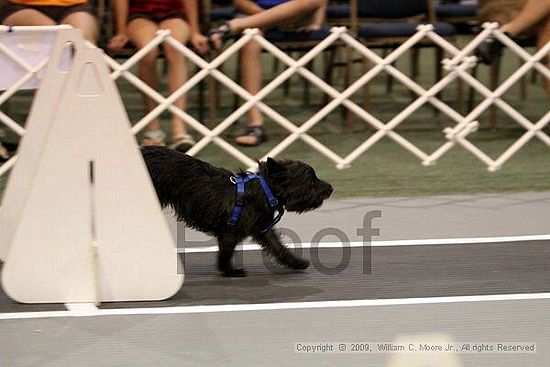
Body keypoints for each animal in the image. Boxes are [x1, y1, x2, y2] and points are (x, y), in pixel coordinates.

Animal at [140, 145, 334, 278]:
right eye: (310, 179)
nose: (330, 188)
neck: (265, 190)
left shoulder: (262, 229)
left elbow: (277, 246)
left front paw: (296, 262)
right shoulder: (230, 233)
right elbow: (226, 253)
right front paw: (229, 271)